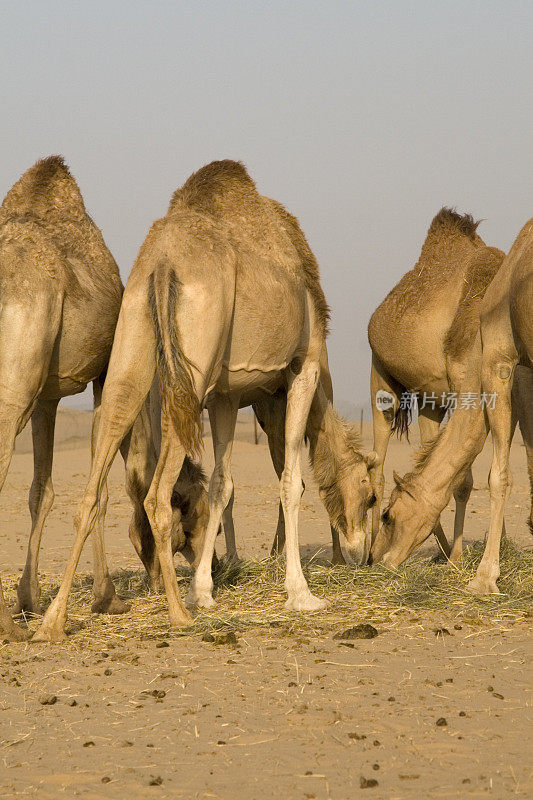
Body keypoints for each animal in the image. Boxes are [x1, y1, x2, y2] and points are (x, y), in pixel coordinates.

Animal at [34, 161, 374, 644]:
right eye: (370, 495)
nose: (364, 553)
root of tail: (161, 262)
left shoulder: (227, 396)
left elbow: (220, 485)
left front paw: (206, 591)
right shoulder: (304, 366)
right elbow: (292, 480)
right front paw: (301, 594)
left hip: (133, 334)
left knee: (96, 479)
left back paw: (54, 621)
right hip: (192, 364)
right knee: (156, 496)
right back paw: (178, 615)